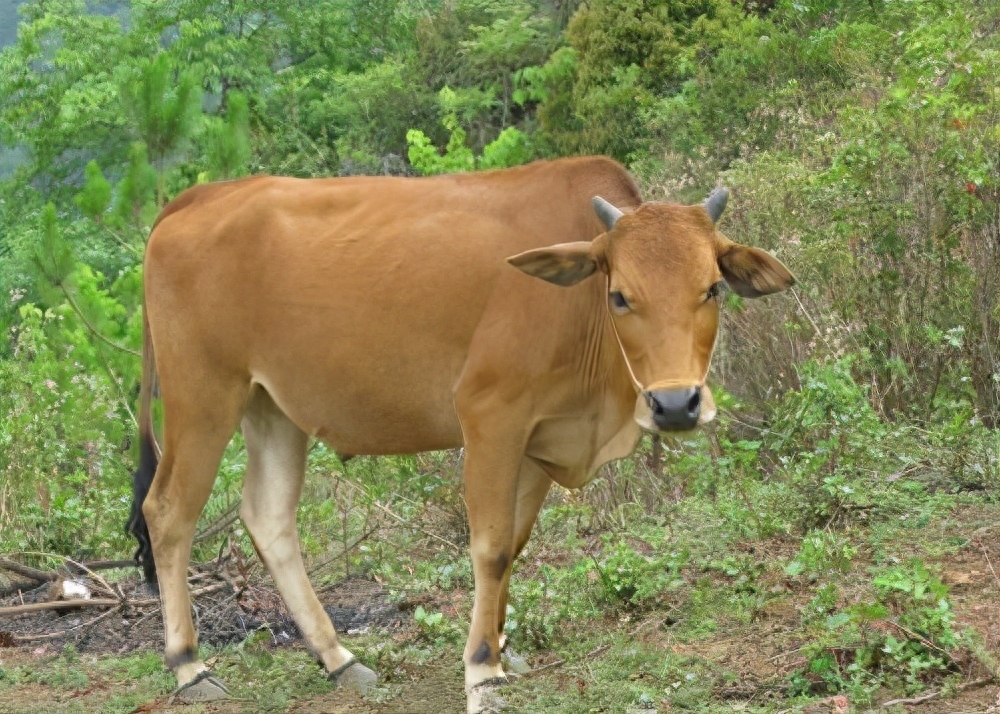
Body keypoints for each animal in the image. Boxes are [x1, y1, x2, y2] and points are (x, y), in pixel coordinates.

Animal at [129, 154, 792, 708]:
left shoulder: (537, 437)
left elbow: (515, 544)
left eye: (712, 288)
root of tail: (202, 196)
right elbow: (491, 547)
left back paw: (338, 657)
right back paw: (188, 665)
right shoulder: (491, 415)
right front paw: (481, 669)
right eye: (621, 296)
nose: (676, 404)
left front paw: (502, 650)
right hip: (203, 397)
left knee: (268, 517)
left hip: (273, 407)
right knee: (168, 512)